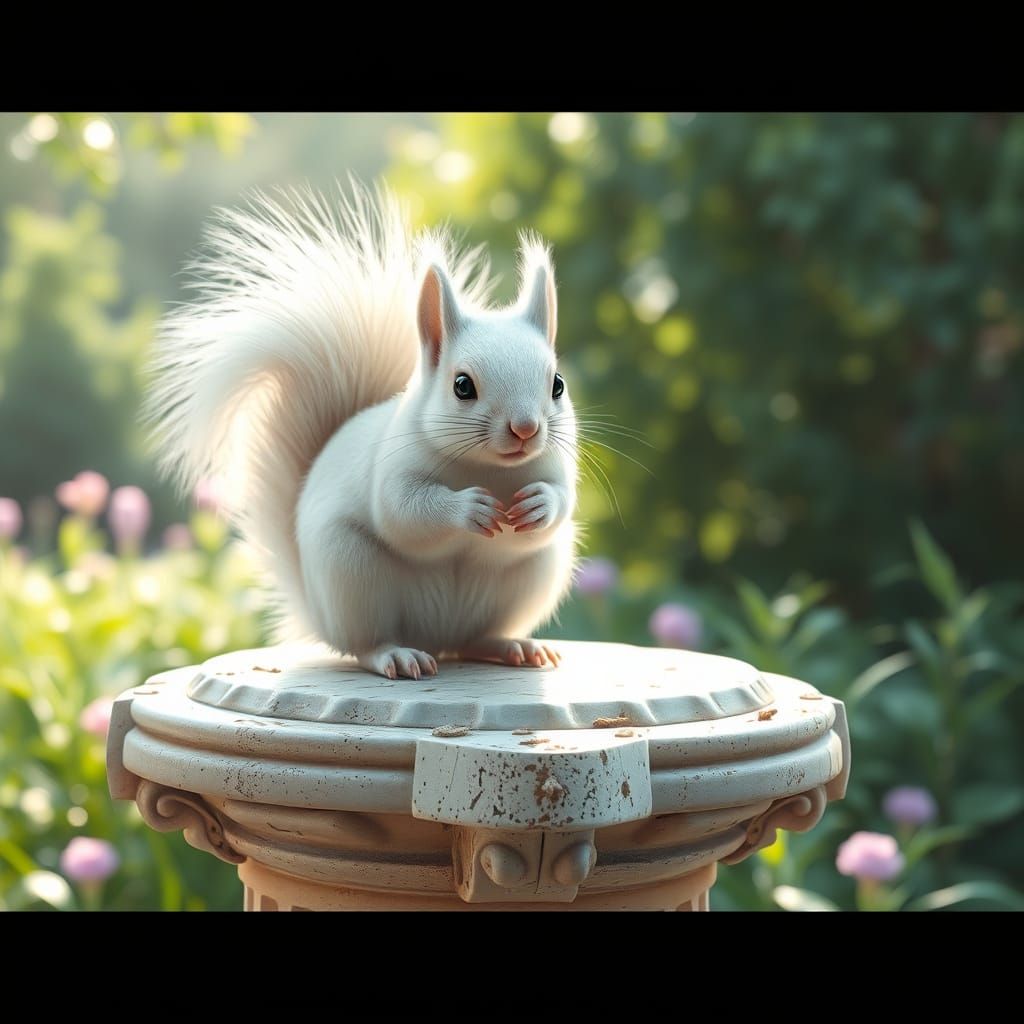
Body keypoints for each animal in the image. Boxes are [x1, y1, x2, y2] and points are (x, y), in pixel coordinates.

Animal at [143, 183, 578, 680]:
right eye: (462, 386)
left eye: (557, 384)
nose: (525, 428)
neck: (488, 468)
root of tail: (436, 636)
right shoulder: (391, 469)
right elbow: (404, 511)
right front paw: (468, 508)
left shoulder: (558, 467)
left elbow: (564, 500)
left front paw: (539, 505)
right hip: (352, 575)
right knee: (364, 644)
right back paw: (397, 655)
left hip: (531, 577)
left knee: (475, 637)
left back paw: (512, 646)